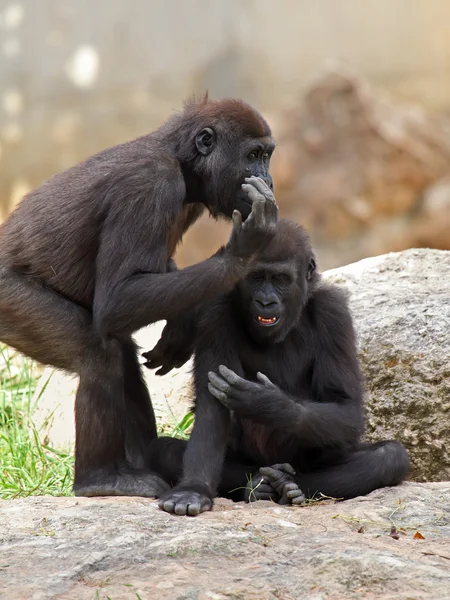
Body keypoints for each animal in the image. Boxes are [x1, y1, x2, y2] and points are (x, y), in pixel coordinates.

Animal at [0, 95, 278, 496]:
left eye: (267, 156)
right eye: (254, 155)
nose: (269, 180)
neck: (180, 159)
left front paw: (182, 324)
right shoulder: (150, 184)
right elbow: (120, 297)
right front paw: (242, 252)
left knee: (122, 360)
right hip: (9, 301)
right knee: (98, 354)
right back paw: (98, 479)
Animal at [149, 220, 412, 516]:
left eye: (280, 279)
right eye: (256, 277)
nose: (265, 302)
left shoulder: (333, 312)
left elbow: (347, 407)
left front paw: (268, 404)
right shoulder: (215, 311)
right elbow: (211, 410)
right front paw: (193, 488)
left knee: (389, 458)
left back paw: (289, 486)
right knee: (163, 451)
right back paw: (258, 485)